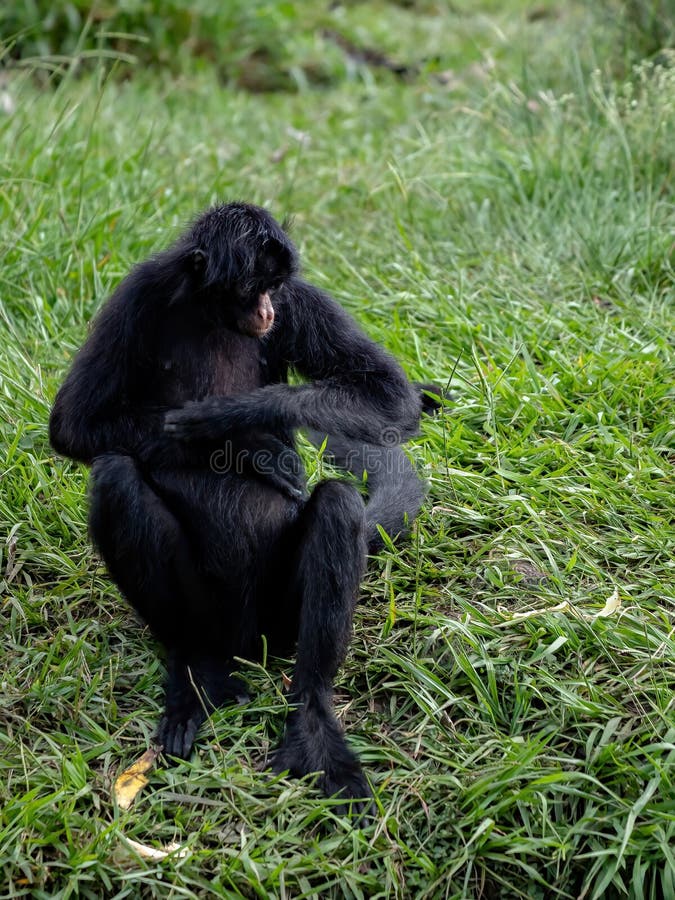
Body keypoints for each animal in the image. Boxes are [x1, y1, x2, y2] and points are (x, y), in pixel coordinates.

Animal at [51, 202, 444, 808]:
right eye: (251, 286)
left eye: (274, 287)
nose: (266, 309)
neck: (212, 316)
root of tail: (243, 639)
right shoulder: (140, 292)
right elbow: (72, 424)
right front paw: (244, 446)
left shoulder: (299, 302)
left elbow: (390, 395)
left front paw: (234, 422)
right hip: (208, 609)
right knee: (114, 475)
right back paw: (198, 673)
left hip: (279, 618)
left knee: (337, 502)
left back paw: (311, 719)